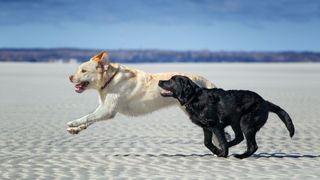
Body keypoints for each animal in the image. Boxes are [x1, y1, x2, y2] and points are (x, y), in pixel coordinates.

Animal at [66, 51, 216, 134]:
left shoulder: (107, 111)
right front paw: (76, 129)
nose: (70, 77)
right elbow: (90, 118)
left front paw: (73, 123)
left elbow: (87, 117)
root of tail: (205, 81)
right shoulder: (103, 108)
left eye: (83, 71)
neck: (110, 79)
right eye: (78, 69)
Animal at [158, 75, 296, 158]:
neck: (194, 97)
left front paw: (223, 154)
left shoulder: (215, 125)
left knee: (252, 145)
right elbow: (207, 142)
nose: (159, 81)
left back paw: (240, 156)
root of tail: (265, 102)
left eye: (172, 80)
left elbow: (221, 140)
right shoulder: (206, 127)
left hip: (246, 122)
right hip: (236, 121)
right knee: (239, 137)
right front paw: (217, 151)